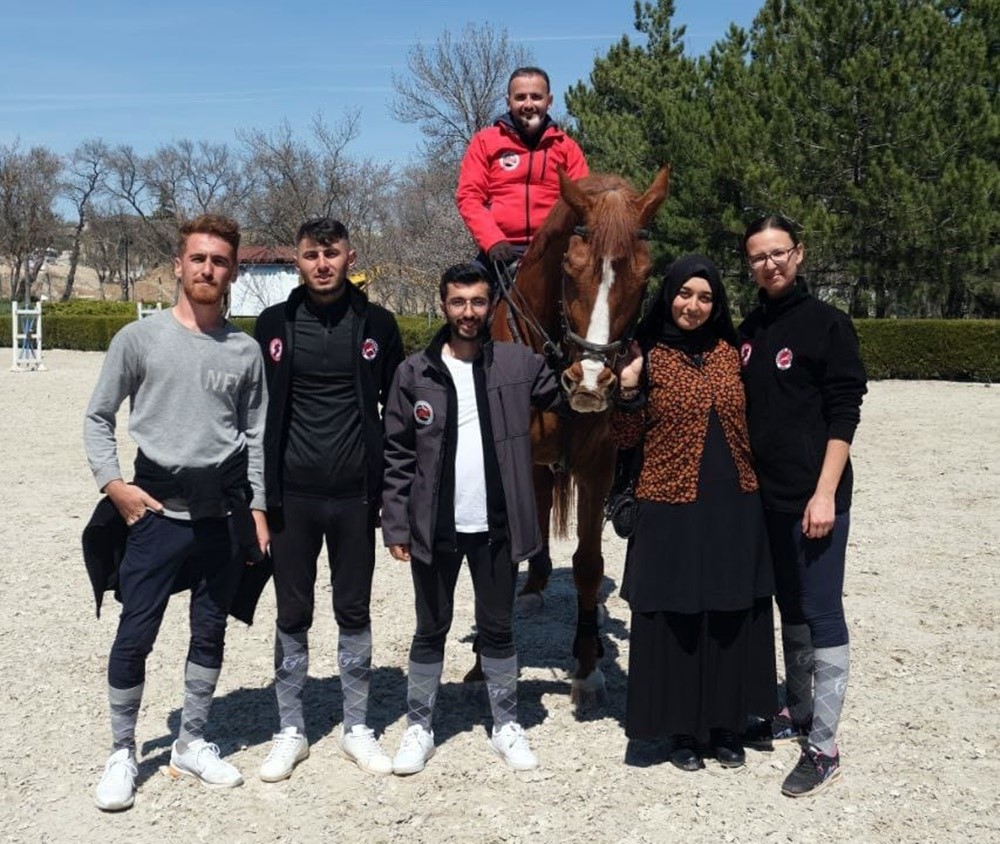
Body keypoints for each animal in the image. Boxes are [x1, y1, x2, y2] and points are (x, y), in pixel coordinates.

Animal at [486, 165, 672, 704]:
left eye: (645, 274)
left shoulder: (597, 468)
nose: (590, 380)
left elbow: (589, 564)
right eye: (570, 267)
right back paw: (533, 588)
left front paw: (588, 666)